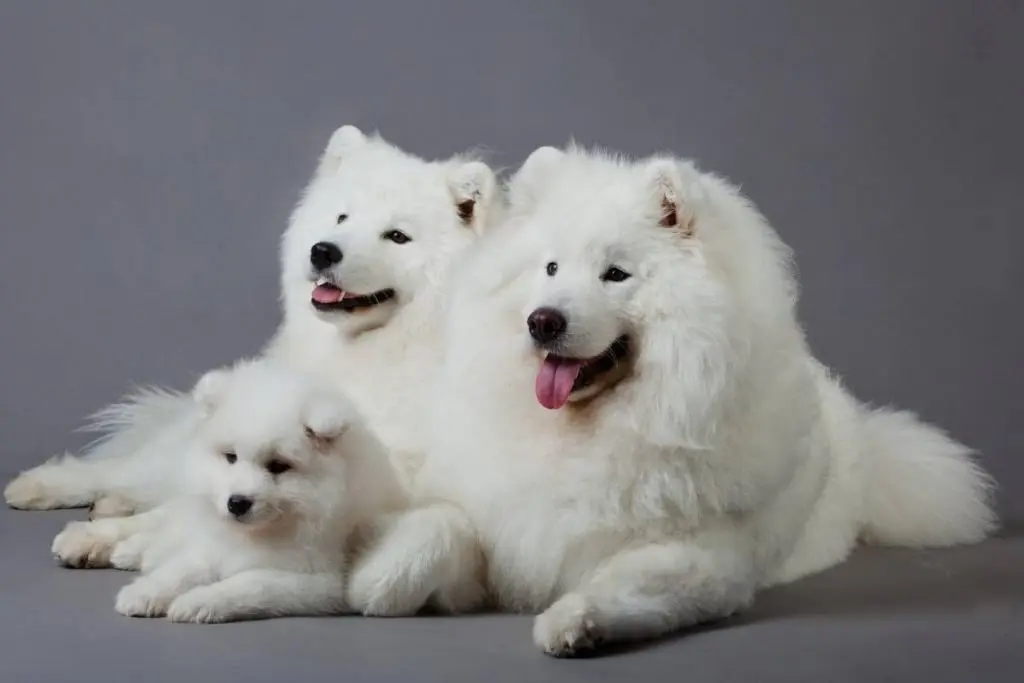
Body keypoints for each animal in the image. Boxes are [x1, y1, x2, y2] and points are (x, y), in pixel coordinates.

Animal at [51, 360, 403, 622]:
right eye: (231, 457)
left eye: (278, 466)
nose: (237, 503)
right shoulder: (213, 542)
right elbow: (183, 568)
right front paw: (145, 592)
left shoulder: (315, 581)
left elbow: (248, 584)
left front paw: (196, 603)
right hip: (162, 474)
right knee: (123, 485)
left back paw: (126, 547)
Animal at [348, 145, 995, 655]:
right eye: (550, 267)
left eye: (614, 274)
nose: (543, 321)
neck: (587, 431)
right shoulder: (503, 527)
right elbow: (443, 525)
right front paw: (376, 582)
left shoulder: (705, 558)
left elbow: (628, 583)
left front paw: (573, 623)